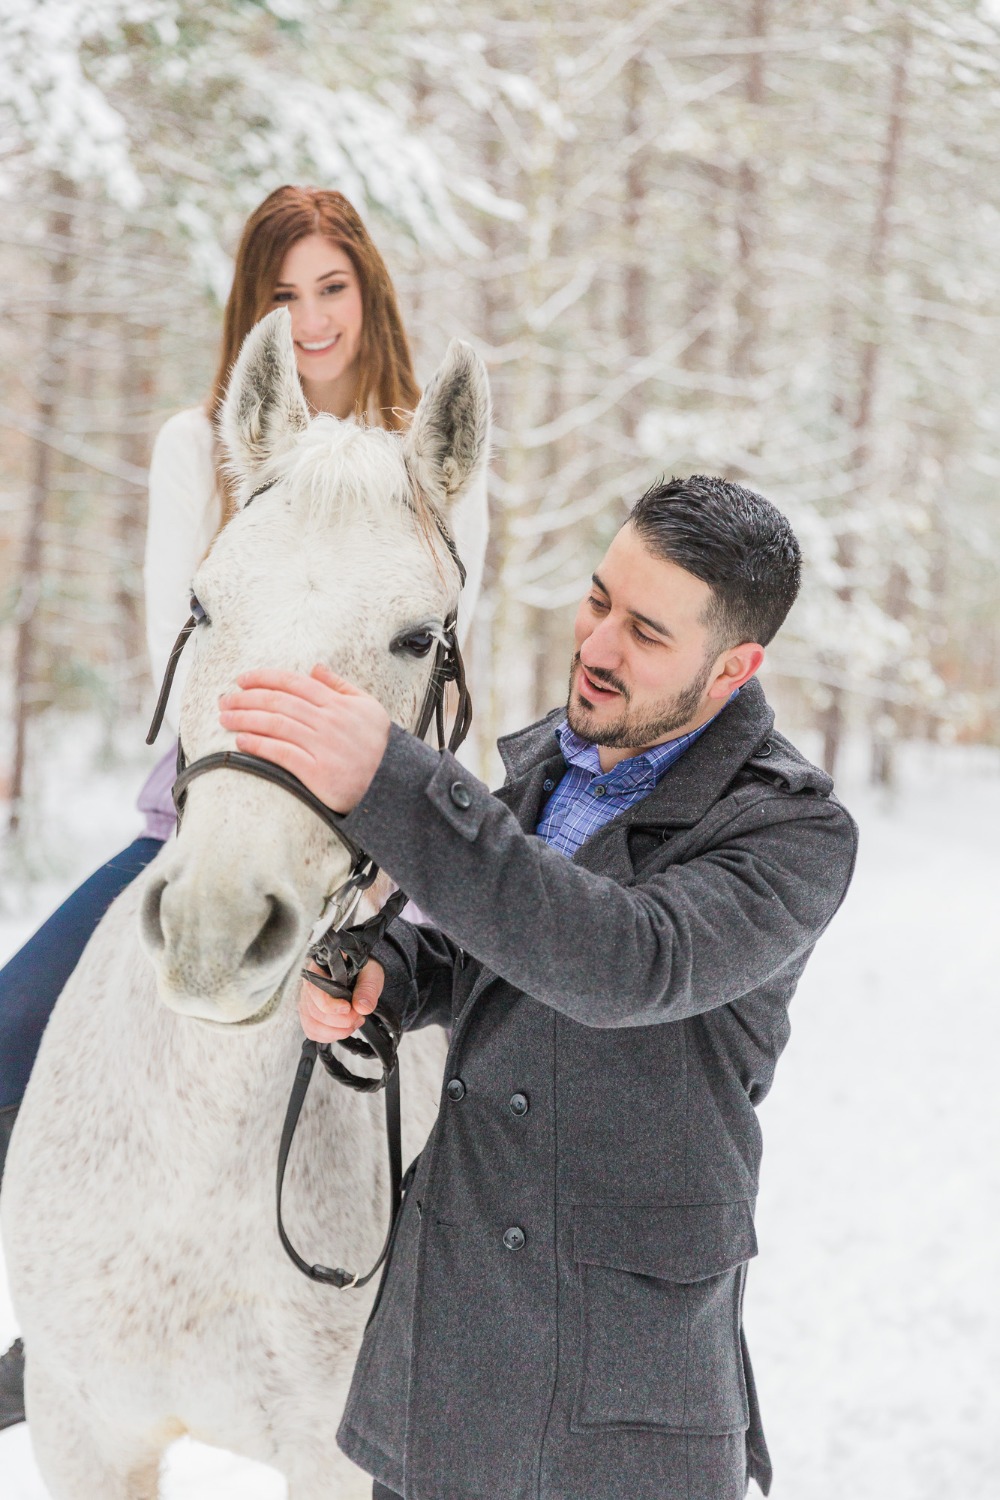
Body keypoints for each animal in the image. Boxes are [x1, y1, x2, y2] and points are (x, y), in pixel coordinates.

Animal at [0, 307, 491, 1500]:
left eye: (420, 636)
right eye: (201, 603)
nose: (214, 934)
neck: (199, 1156)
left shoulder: (337, 1462)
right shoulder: (82, 1428)